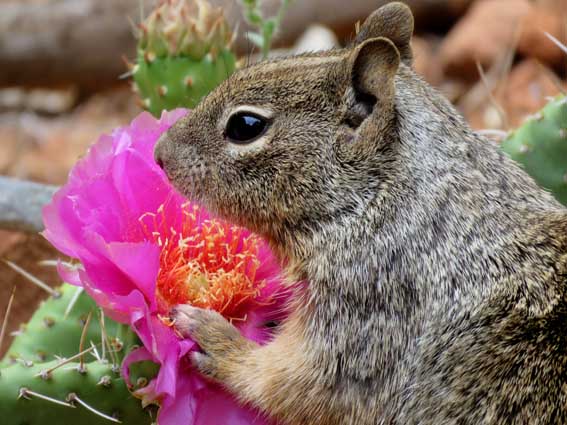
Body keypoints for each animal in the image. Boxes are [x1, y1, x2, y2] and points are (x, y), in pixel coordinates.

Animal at [153, 2, 567, 420]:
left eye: (246, 125)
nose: (159, 153)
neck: (386, 202)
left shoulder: (368, 319)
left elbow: (291, 384)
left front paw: (220, 342)